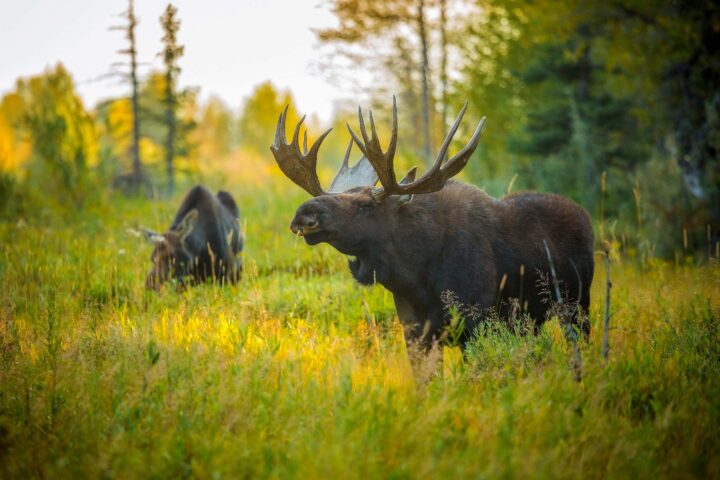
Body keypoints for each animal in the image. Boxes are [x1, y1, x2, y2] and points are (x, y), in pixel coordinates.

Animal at [271, 97, 594, 351]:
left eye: (366, 205)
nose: (304, 214)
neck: (416, 276)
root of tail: (586, 217)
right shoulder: (415, 331)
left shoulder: (476, 322)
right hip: (534, 319)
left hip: (578, 303)